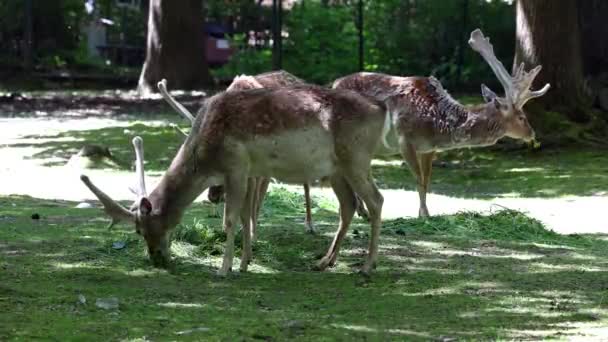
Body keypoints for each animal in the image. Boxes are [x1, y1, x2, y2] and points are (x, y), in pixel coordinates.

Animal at [78, 84, 388, 276]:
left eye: (140, 229)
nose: (156, 257)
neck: (205, 160)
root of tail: (382, 109)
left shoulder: (236, 165)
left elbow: (230, 219)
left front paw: (223, 268)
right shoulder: (248, 171)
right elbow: (243, 216)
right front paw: (243, 263)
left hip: (357, 157)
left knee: (376, 200)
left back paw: (367, 266)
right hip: (337, 169)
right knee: (348, 205)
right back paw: (323, 262)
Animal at [332, 28, 552, 216]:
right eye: (521, 117)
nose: (532, 133)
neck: (437, 124)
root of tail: (334, 83)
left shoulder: (429, 148)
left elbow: (427, 180)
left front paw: (426, 212)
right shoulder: (405, 138)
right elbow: (418, 179)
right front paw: (423, 214)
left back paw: (361, 210)